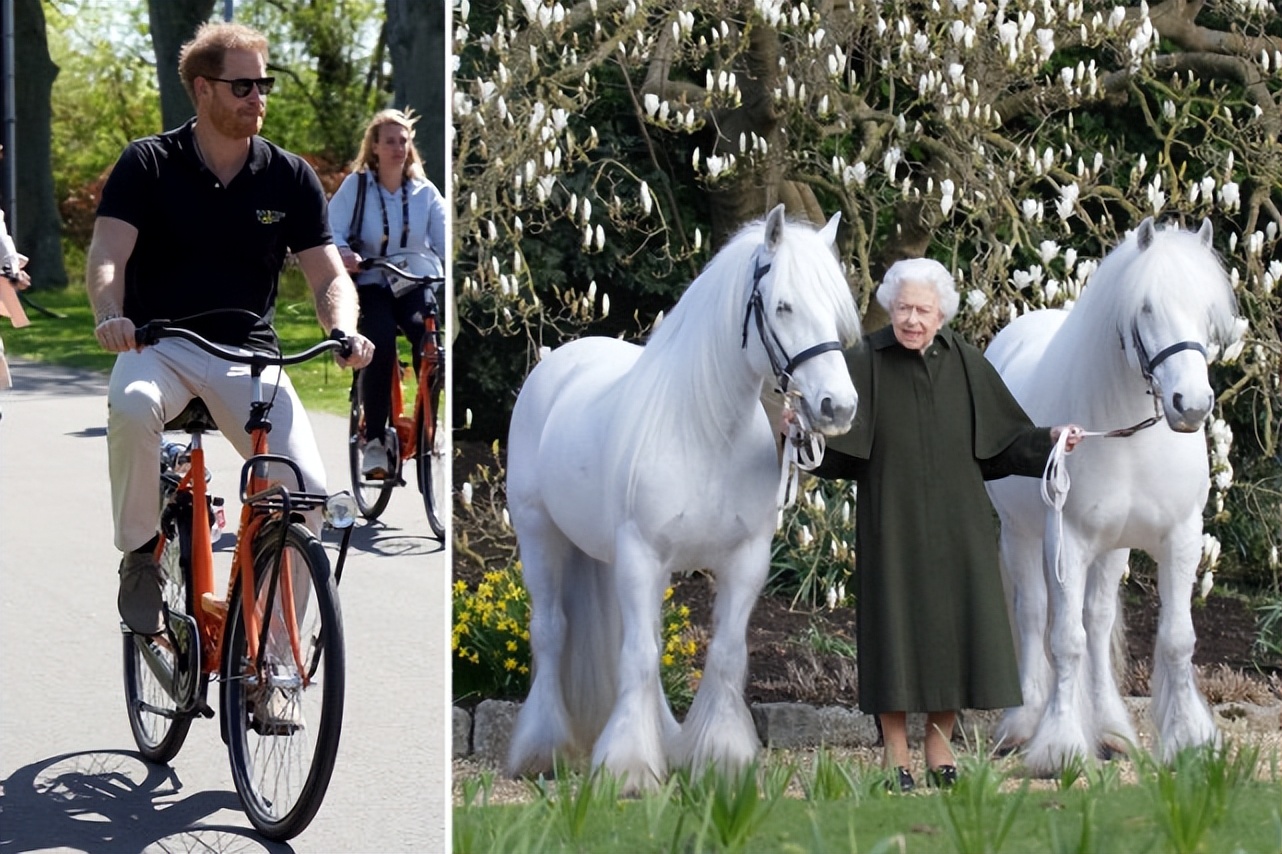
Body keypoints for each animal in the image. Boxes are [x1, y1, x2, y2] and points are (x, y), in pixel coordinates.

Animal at [502, 202, 861, 789]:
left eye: (834, 311)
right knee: (552, 632)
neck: (705, 432)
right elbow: (640, 657)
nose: (838, 406)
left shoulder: (745, 560)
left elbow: (725, 655)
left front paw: (721, 757)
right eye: (783, 306)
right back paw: (543, 750)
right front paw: (627, 768)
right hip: (541, 536)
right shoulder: (641, 554)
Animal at [979, 214, 1240, 769]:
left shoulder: (1181, 538)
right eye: (1146, 307)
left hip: (1112, 549)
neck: (1129, 437)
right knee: (1033, 614)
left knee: (1097, 622)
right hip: (1021, 536)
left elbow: (1175, 639)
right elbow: (1065, 640)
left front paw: (1189, 740)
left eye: (1206, 311)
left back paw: (1112, 731)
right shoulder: (1068, 542)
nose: (1192, 404)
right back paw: (1022, 724)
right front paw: (1058, 745)